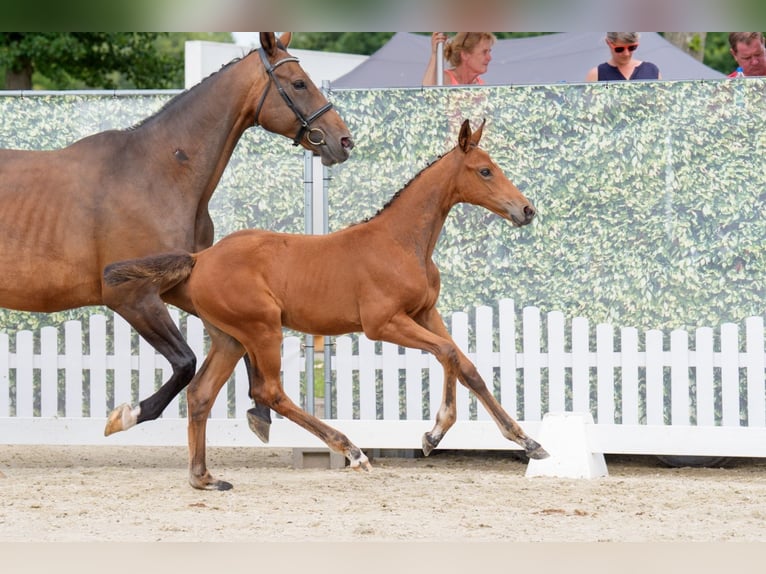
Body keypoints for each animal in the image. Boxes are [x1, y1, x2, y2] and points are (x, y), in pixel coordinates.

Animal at [0, 32, 352, 438]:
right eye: (298, 83)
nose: (344, 140)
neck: (160, 173)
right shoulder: (130, 295)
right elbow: (186, 362)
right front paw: (127, 415)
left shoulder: (185, 284)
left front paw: (259, 412)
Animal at [104, 119, 548, 490]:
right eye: (485, 170)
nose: (526, 210)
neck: (401, 242)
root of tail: (199, 259)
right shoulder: (384, 323)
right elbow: (447, 354)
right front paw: (433, 433)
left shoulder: (424, 313)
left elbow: (467, 365)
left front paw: (528, 441)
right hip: (262, 329)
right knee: (269, 391)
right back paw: (352, 450)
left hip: (230, 338)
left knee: (200, 394)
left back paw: (203, 477)